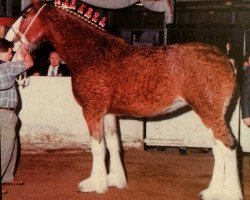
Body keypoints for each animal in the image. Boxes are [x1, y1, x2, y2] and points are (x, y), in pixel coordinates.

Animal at [5, 0, 244, 199]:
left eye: (25, 15)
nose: (8, 40)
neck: (93, 53)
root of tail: (225, 58)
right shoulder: (109, 114)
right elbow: (113, 145)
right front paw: (115, 180)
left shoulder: (92, 112)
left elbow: (98, 147)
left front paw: (95, 184)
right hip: (211, 115)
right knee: (218, 149)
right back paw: (212, 192)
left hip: (210, 114)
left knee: (228, 146)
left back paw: (231, 193)